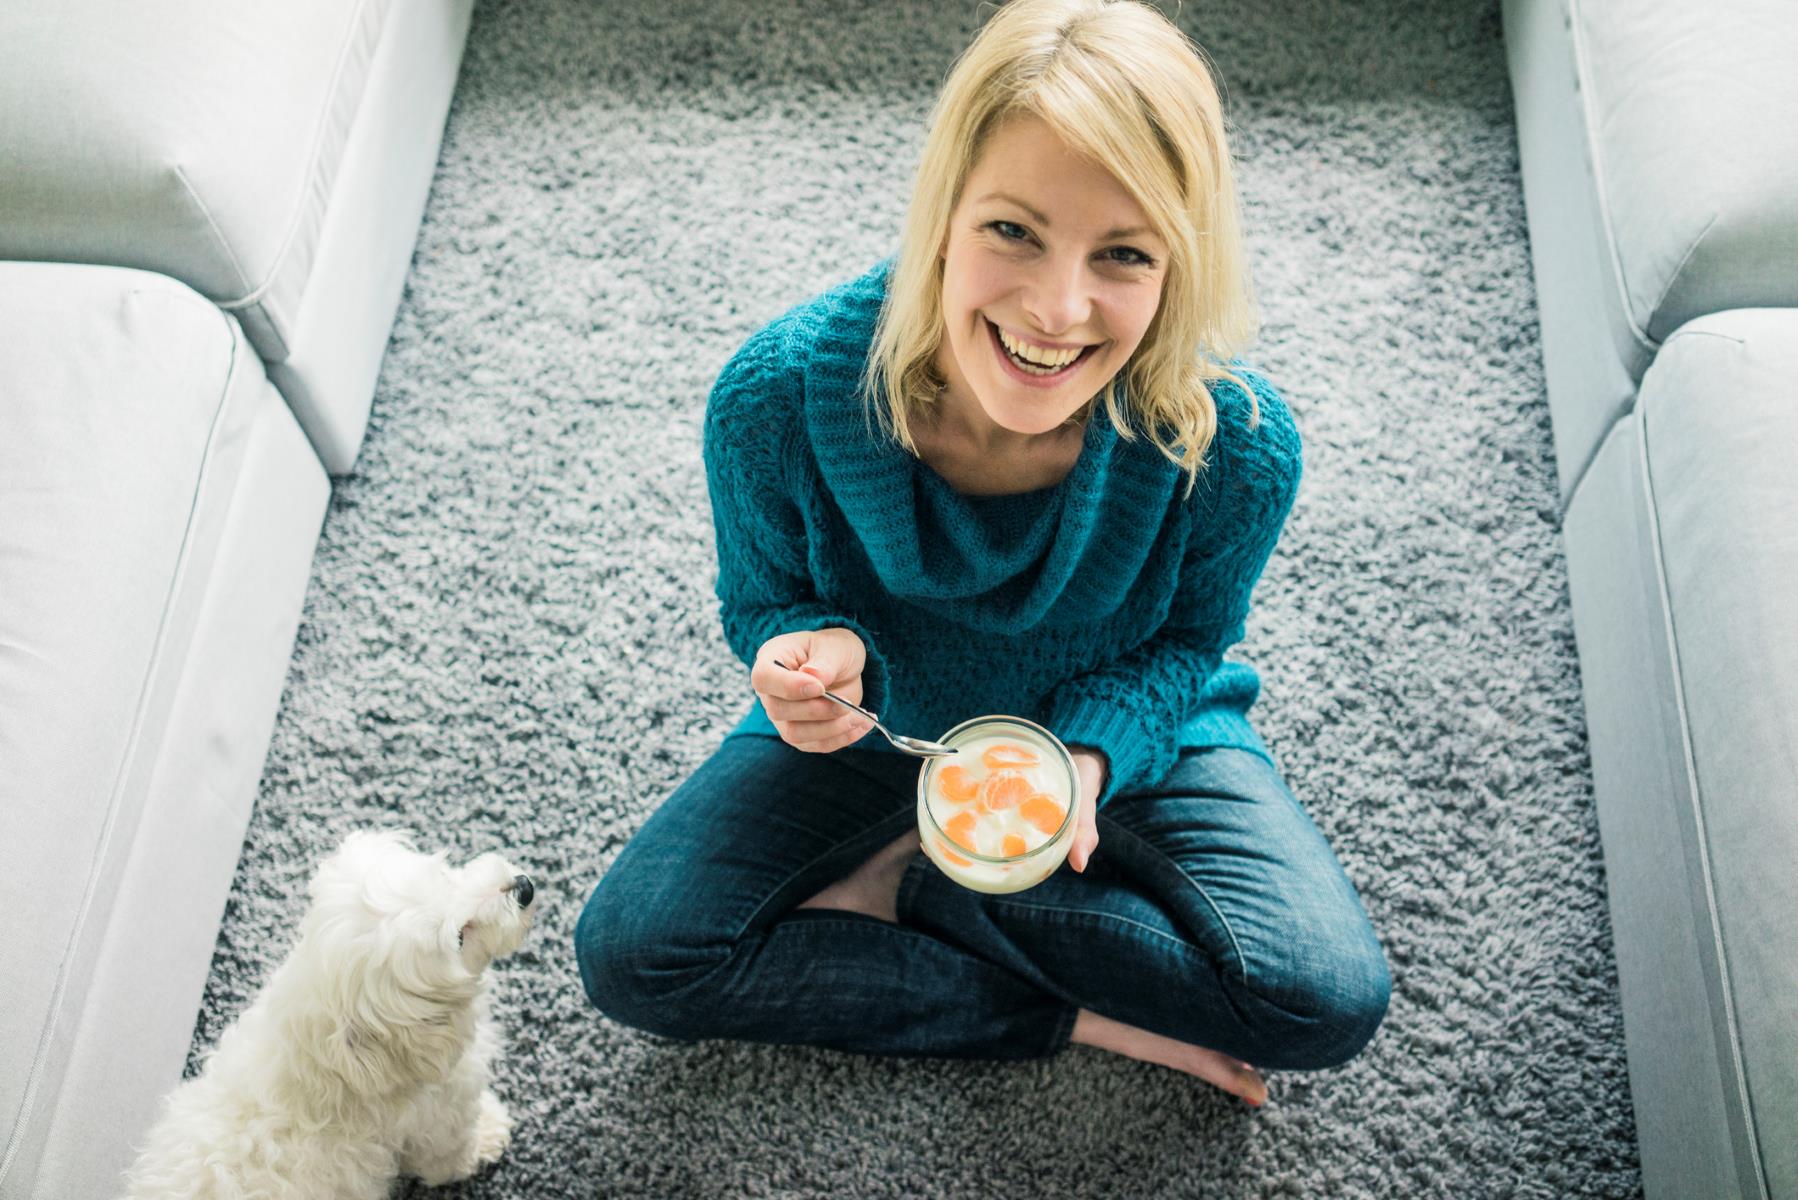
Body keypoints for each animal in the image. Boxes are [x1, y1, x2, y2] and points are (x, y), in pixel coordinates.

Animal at [124, 831, 535, 1194]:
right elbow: (448, 1156)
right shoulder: (437, 1120)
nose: (524, 886)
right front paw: (490, 1133)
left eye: (445, 877)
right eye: (460, 937)